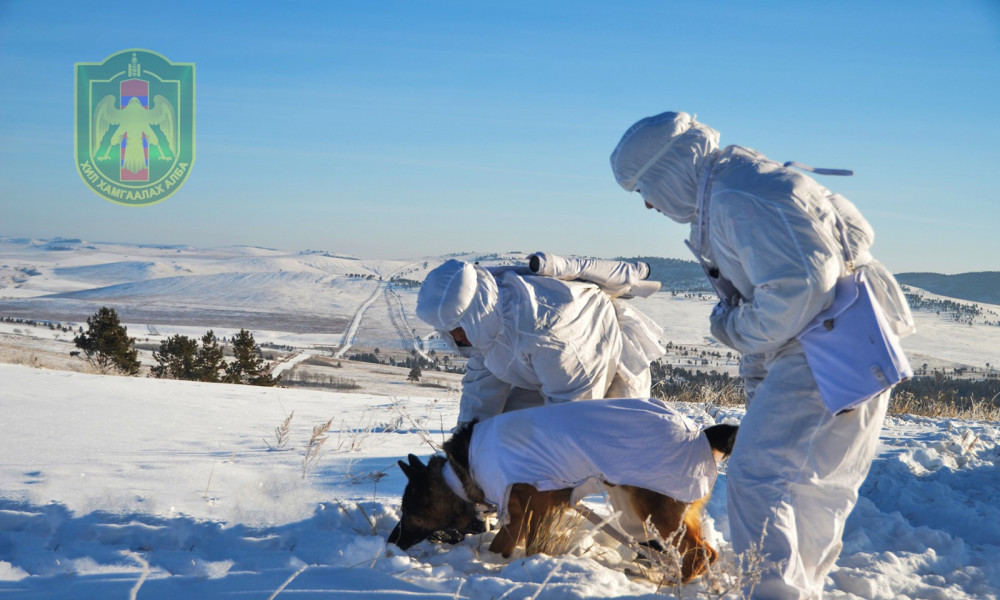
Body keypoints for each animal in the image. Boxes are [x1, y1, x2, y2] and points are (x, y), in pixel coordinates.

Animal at [386, 400, 740, 584]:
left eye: (409, 512)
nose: (390, 542)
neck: (459, 474)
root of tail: (702, 434)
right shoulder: (538, 511)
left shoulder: (521, 513)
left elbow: (503, 545)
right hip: (645, 512)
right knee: (700, 552)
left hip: (655, 510)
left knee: (701, 554)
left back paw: (671, 581)